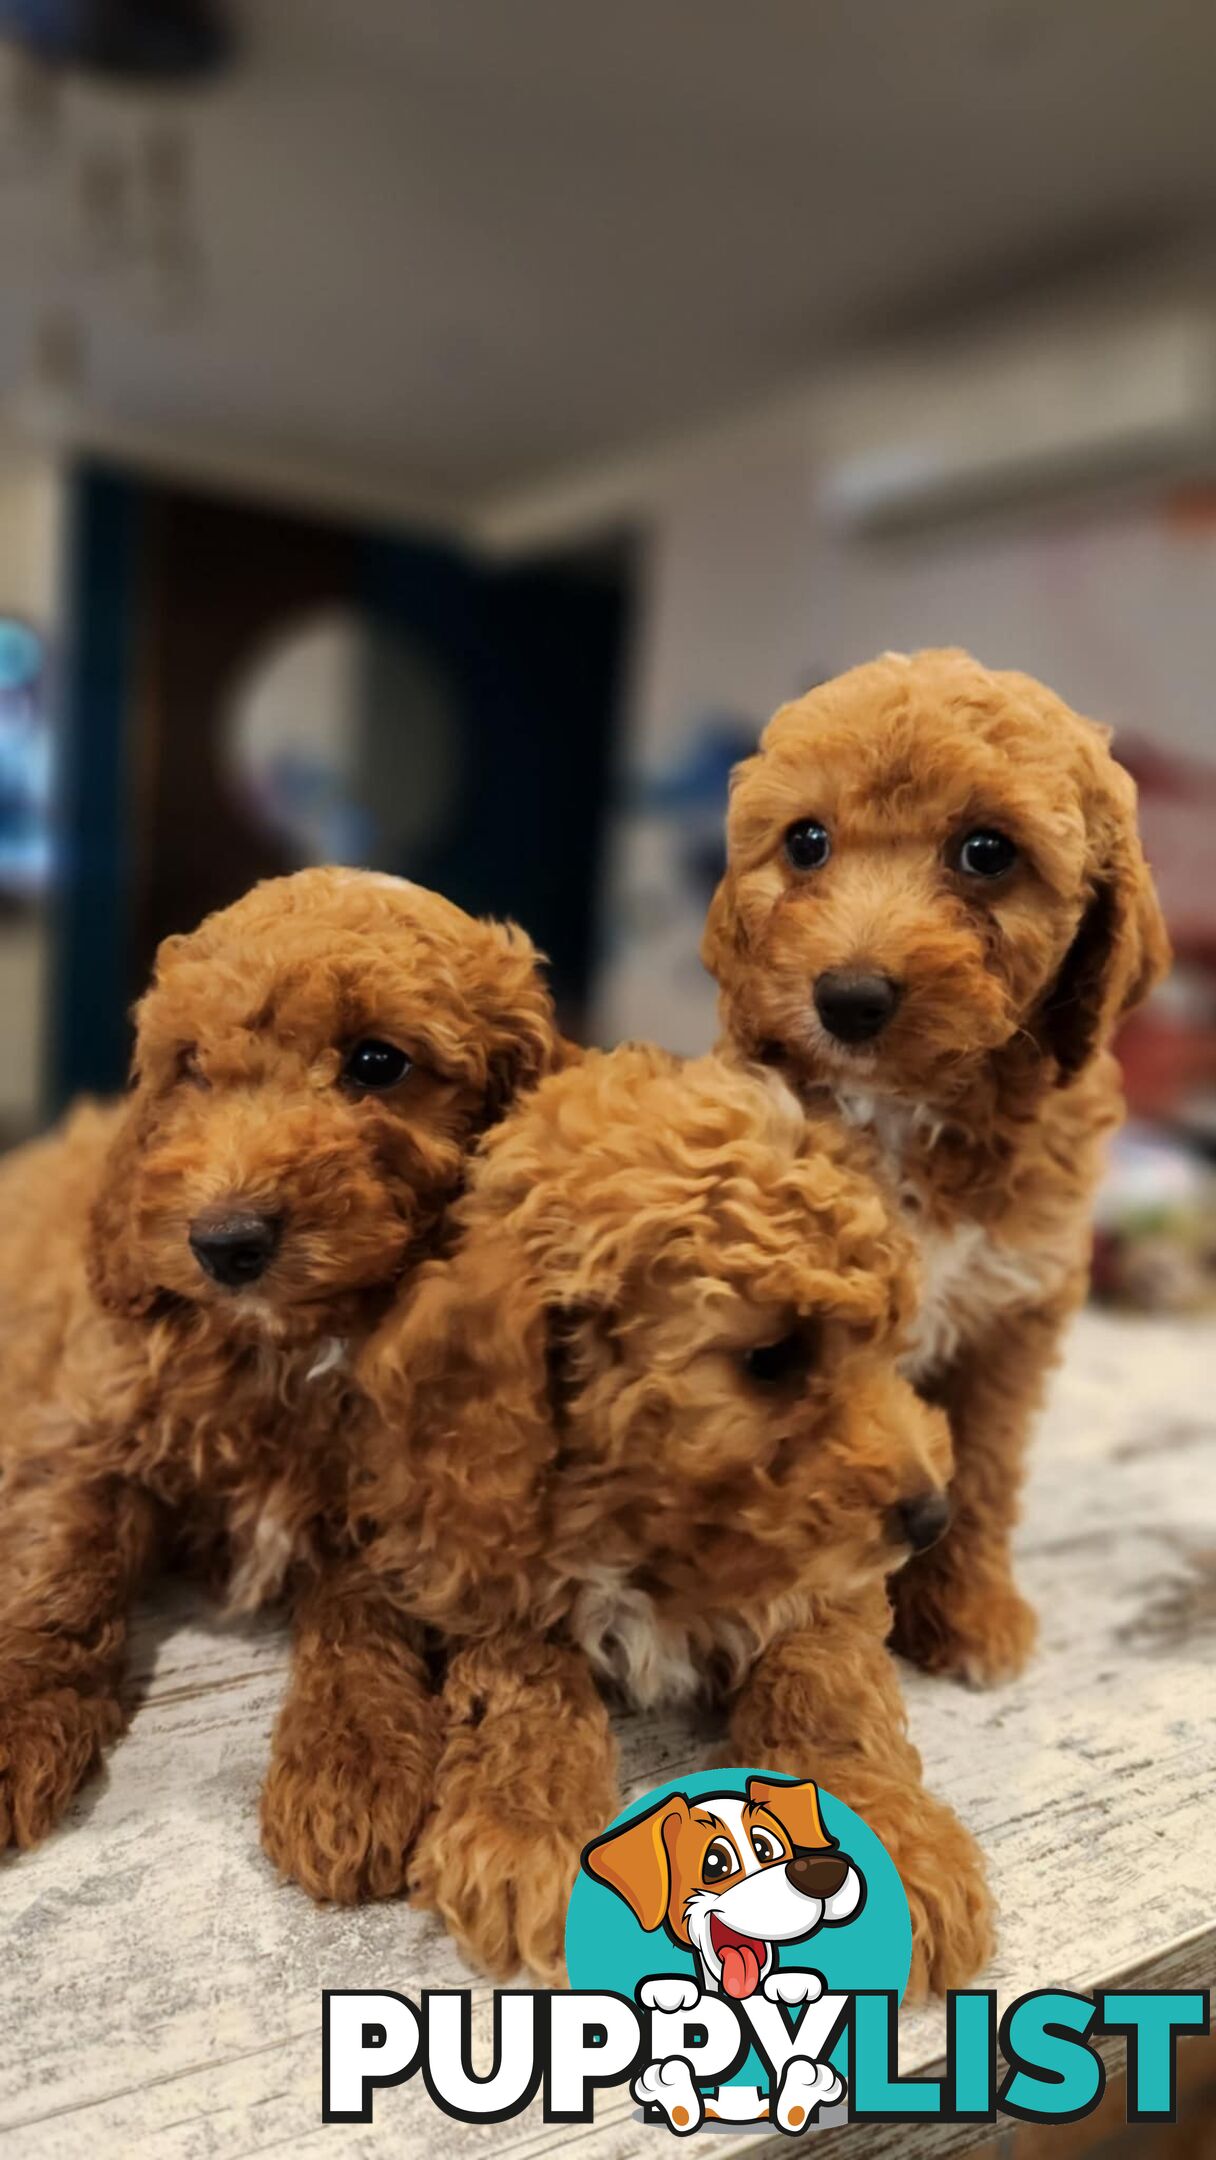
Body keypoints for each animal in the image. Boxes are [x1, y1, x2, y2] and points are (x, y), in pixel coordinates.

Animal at [0, 864, 561, 1892]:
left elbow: (362, 1607)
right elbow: (59, 1569)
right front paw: (15, 1716)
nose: (225, 1242)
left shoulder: (394, 1486)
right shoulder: (87, 1428)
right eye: (190, 1066)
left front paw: (352, 1758)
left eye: (377, 1063)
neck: (292, 1347)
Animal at [365, 1041, 997, 1987]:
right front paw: (525, 1831)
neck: (652, 1525)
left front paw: (891, 1838)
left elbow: (829, 1685)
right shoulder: (485, 1560)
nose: (931, 1517)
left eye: (887, 1344)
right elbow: (529, 1687)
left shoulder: (832, 1581)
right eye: (771, 1359)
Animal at [704, 639, 1166, 1684]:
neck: (913, 1108)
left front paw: (969, 1613)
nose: (849, 998)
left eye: (986, 852)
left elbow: (986, 1470)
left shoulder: (1015, 1311)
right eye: (806, 842)